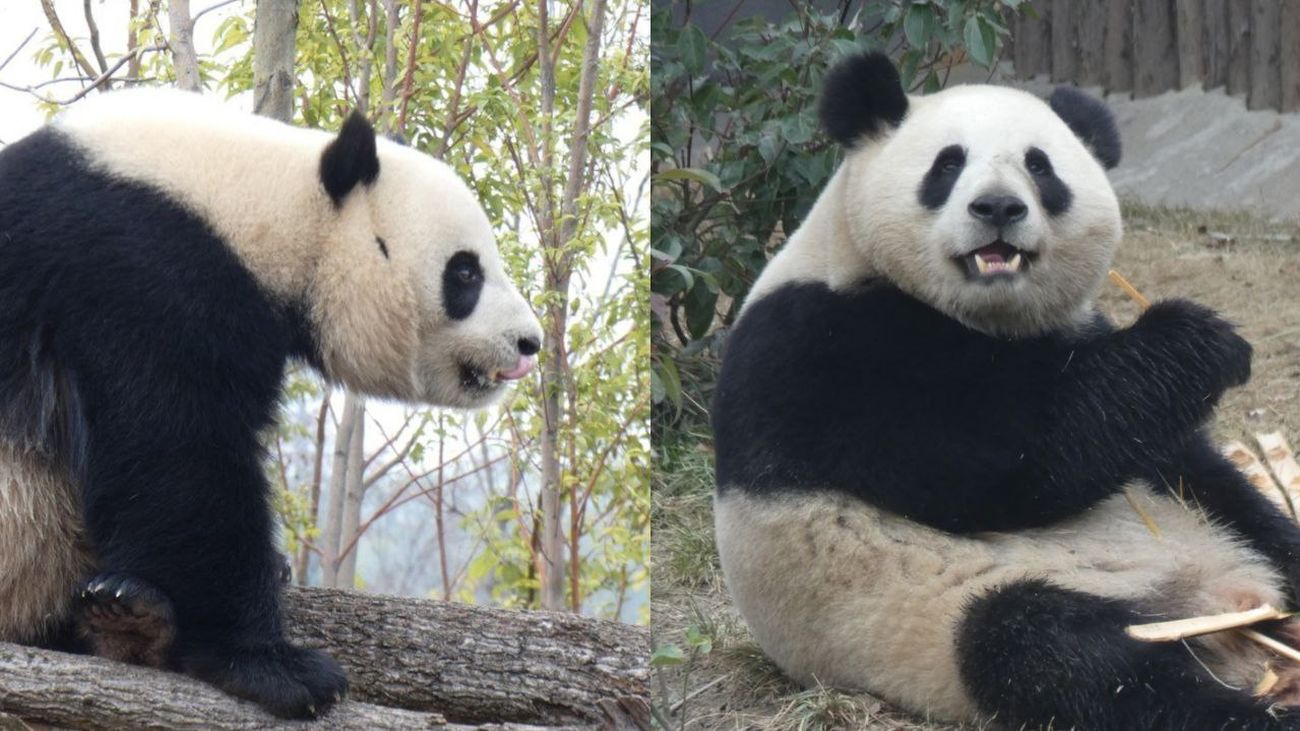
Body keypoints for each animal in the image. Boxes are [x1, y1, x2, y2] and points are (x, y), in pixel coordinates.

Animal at [0, 88, 542, 719]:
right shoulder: (138, 271)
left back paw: (129, 614)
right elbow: (176, 455)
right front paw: (275, 667)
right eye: (465, 272)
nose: (529, 342)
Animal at [712, 52, 1300, 730]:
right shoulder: (822, 352)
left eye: (1040, 166)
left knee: (1254, 529)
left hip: (1209, 528)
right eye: (947, 164)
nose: (997, 208)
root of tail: (1219, 601)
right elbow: (1008, 465)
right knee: (1059, 653)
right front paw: (1200, 339)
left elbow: (1172, 454)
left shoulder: (1071, 337)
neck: (984, 317)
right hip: (939, 607)